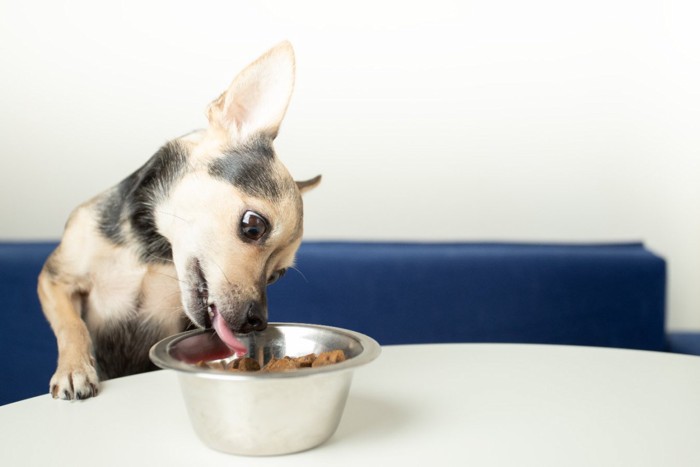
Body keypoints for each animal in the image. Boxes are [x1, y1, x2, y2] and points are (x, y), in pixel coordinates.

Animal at [37, 42, 320, 400]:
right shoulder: (55, 280)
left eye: (277, 276)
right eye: (254, 226)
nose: (257, 321)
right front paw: (74, 369)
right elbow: (71, 326)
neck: (152, 247)